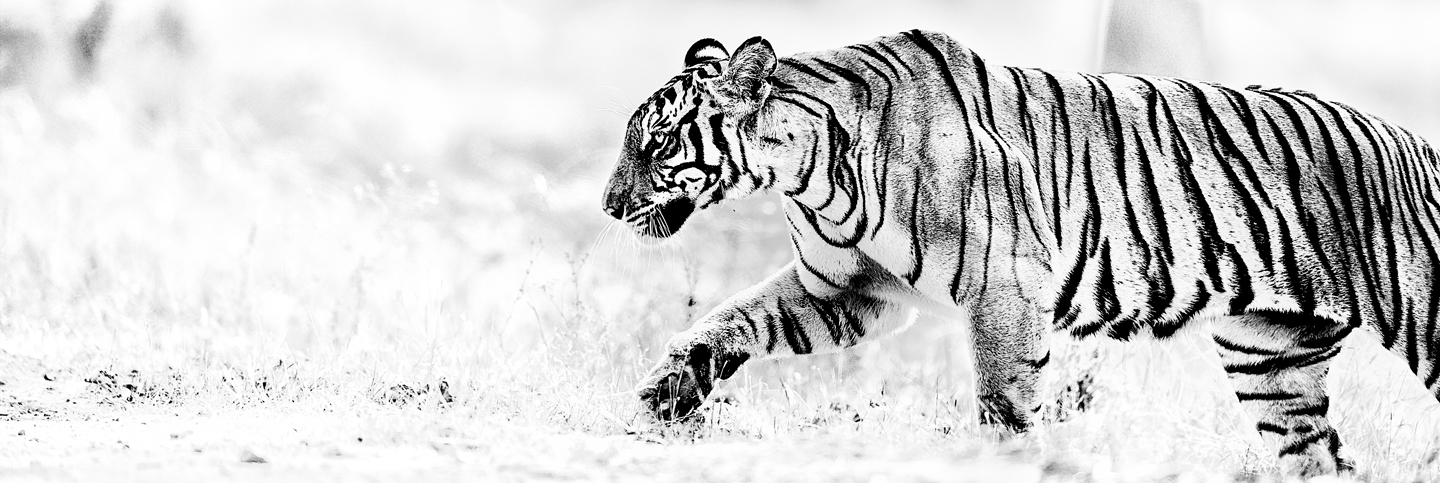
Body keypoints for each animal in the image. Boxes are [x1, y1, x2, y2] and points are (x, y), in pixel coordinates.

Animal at [600, 30, 1440, 477]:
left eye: (658, 142)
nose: (607, 206)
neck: (809, 167)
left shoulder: (1003, 286)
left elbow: (1003, 392)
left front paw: (1004, 457)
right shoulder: (849, 291)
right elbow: (726, 320)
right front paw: (662, 398)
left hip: (1418, 318)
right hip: (1272, 356)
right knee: (1320, 455)